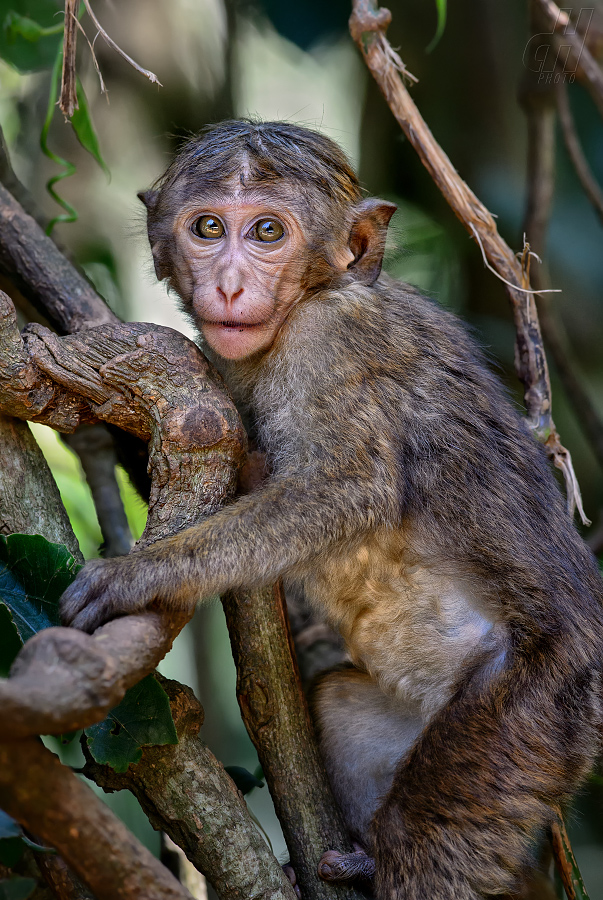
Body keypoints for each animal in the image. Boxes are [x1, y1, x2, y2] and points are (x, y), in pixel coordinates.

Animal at [60, 121, 603, 900]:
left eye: (267, 231)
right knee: (342, 702)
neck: (309, 299)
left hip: (539, 709)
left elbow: (349, 489)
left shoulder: (329, 342)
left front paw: (142, 574)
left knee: (434, 826)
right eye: (207, 228)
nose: (229, 283)